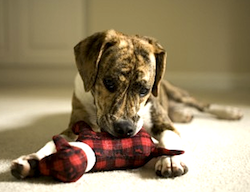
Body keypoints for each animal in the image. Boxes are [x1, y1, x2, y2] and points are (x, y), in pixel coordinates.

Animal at [10, 29, 242, 178]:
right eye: (109, 82)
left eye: (144, 90)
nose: (125, 129)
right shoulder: (75, 124)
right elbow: (53, 142)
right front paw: (31, 160)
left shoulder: (162, 121)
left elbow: (169, 138)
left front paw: (170, 160)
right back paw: (184, 114)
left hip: (179, 93)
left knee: (201, 104)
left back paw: (229, 111)